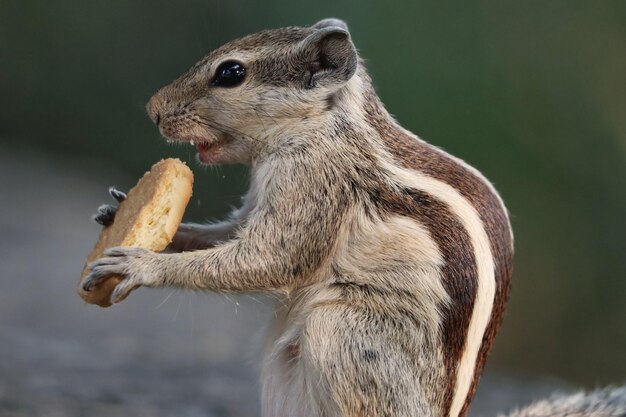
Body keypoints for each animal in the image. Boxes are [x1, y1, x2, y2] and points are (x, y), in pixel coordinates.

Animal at [83, 17, 624, 416]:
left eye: (231, 73)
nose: (153, 109)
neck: (322, 125)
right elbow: (232, 234)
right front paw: (120, 214)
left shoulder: (316, 183)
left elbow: (270, 258)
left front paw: (142, 264)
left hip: (344, 332)